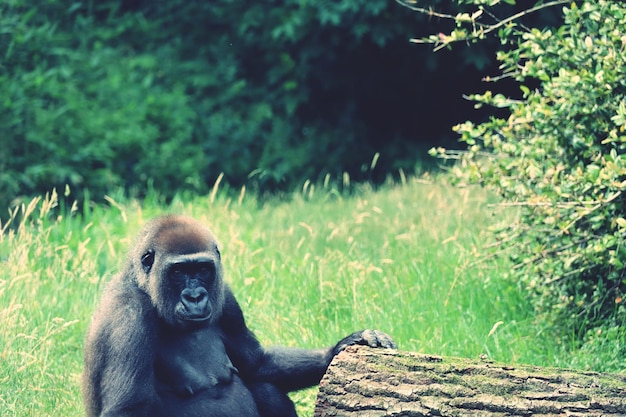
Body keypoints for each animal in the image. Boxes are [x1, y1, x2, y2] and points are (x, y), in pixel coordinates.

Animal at [83, 214, 394, 416]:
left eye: (203, 269)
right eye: (179, 271)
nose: (195, 297)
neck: (143, 287)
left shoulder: (227, 299)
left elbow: (257, 364)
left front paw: (344, 345)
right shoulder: (128, 318)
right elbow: (128, 408)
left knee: (266, 386)